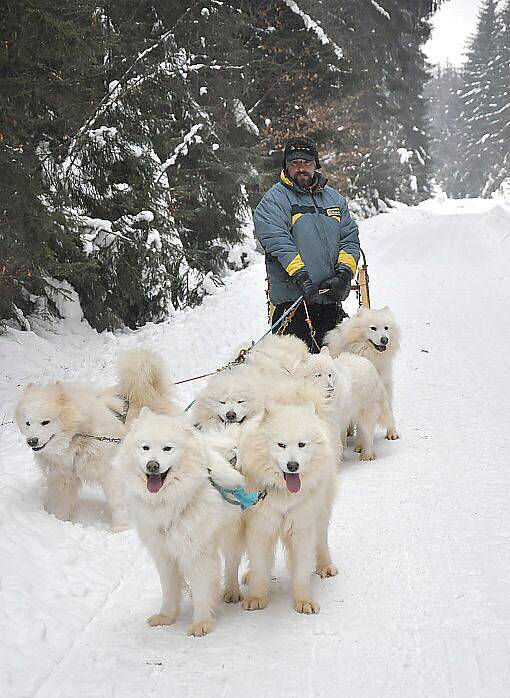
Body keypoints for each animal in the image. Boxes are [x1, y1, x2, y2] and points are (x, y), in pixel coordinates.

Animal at [14, 348, 176, 528]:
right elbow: (61, 504)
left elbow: (118, 503)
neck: (78, 438)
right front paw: (58, 521)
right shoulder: (63, 477)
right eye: (28, 423)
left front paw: (120, 528)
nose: (32, 441)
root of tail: (150, 390)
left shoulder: (110, 472)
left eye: (45, 422)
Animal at [117, 408, 249, 636]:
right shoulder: (163, 554)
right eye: (145, 447)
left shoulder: (198, 552)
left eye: (167, 448)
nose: (152, 465)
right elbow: (169, 590)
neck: (170, 502)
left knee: (233, 562)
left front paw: (201, 623)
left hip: (233, 532)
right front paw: (166, 617)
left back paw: (233, 590)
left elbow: (203, 589)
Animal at [240, 400, 338, 612]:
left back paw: (325, 566)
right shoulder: (260, 527)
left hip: (321, 513)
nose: (293, 465)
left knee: (321, 541)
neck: (284, 494)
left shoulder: (301, 527)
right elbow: (259, 566)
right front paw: (256, 597)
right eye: (281, 445)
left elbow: (301, 570)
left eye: (301, 444)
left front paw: (304, 602)